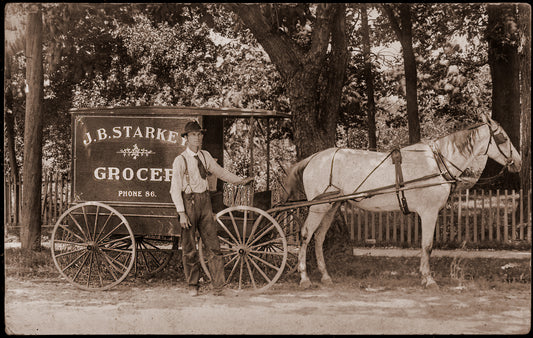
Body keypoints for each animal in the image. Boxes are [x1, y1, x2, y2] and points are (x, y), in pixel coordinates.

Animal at [286, 116, 520, 288]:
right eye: (503, 138)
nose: (517, 161)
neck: (437, 162)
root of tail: (315, 158)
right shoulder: (429, 213)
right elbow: (427, 245)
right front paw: (428, 279)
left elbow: (426, 246)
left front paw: (425, 276)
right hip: (318, 207)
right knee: (306, 235)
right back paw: (304, 278)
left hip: (331, 207)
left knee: (318, 237)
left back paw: (325, 276)